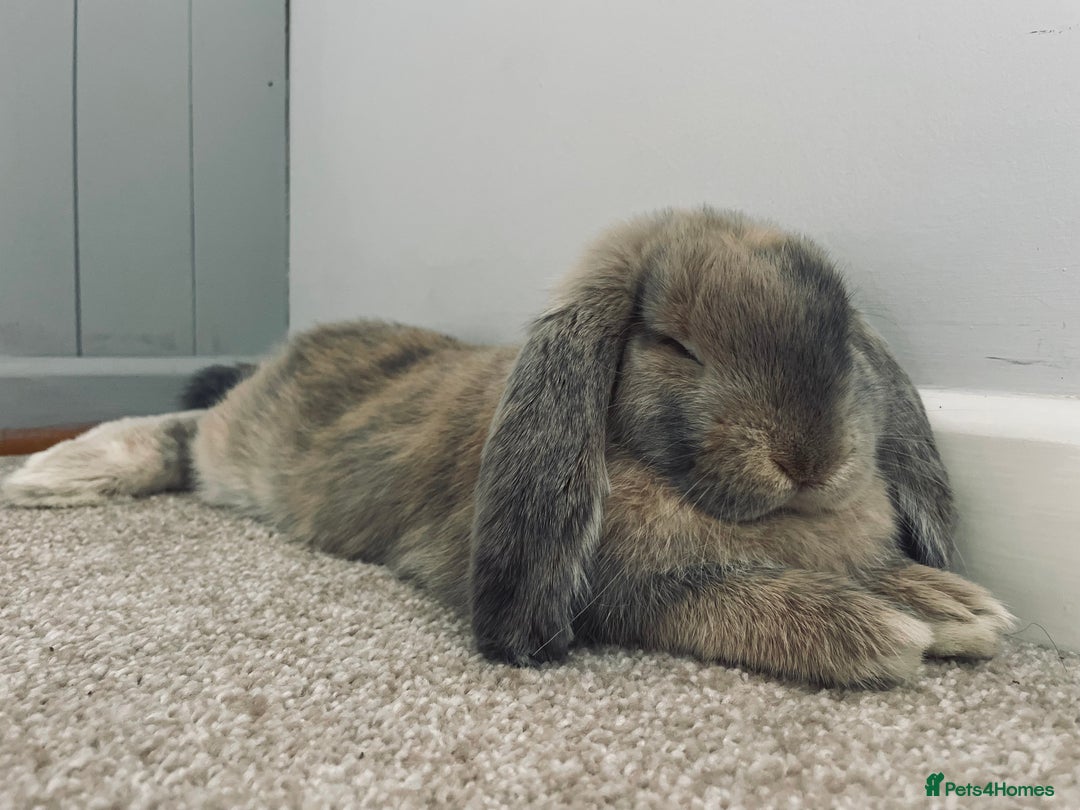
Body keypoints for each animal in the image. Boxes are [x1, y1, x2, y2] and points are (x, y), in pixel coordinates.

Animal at [1, 207, 1014, 688]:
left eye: (843, 333)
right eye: (675, 345)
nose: (811, 459)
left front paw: (954, 605)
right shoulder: (622, 594)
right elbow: (726, 597)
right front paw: (882, 632)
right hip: (235, 444)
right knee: (179, 434)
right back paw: (49, 475)